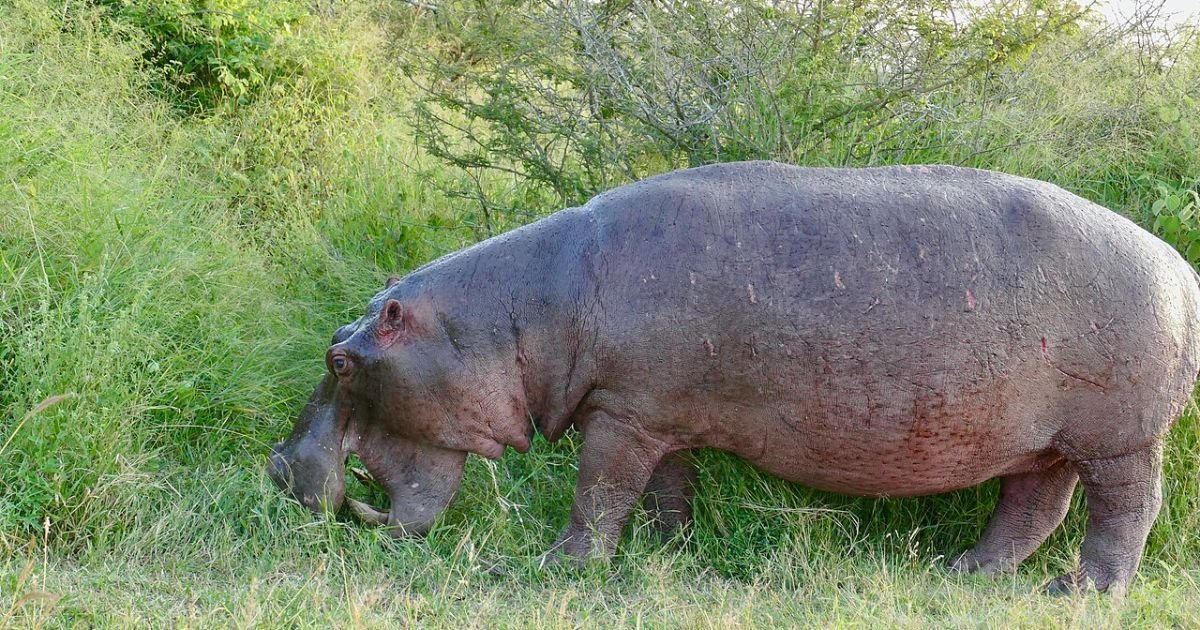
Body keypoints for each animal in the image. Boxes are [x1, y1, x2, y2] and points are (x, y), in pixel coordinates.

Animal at [267, 161, 1200, 595]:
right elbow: (663, 490)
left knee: (1124, 512)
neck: (516, 314)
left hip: (1120, 439)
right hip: (1044, 440)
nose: (277, 468)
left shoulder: (620, 415)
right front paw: (667, 552)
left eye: (339, 358)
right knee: (1033, 507)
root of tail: (1178, 267)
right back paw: (967, 573)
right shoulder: (652, 412)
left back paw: (1080, 590)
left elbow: (598, 492)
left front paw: (562, 564)